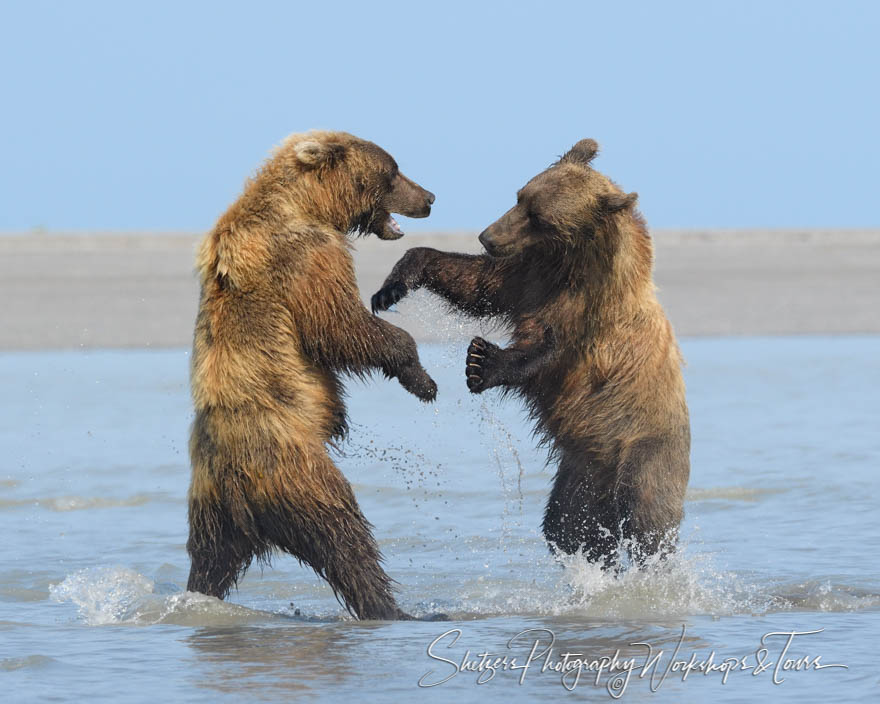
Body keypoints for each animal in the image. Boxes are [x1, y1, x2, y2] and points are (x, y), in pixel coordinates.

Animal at [186, 129, 436, 620]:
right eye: (393, 170)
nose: (430, 197)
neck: (308, 204)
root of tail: (235, 482)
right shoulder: (305, 257)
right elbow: (340, 326)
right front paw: (421, 377)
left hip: (209, 509)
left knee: (208, 561)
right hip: (297, 471)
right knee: (344, 536)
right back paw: (391, 607)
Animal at [370, 139, 688, 568]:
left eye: (540, 218)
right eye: (520, 197)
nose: (487, 237)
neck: (570, 263)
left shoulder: (587, 312)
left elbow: (547, 350)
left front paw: (481, 362)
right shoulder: (528, 277)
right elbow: (475, 283)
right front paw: (392, 286)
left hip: (645, 449)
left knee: (646, 523)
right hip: (581, 470)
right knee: (569, 525)